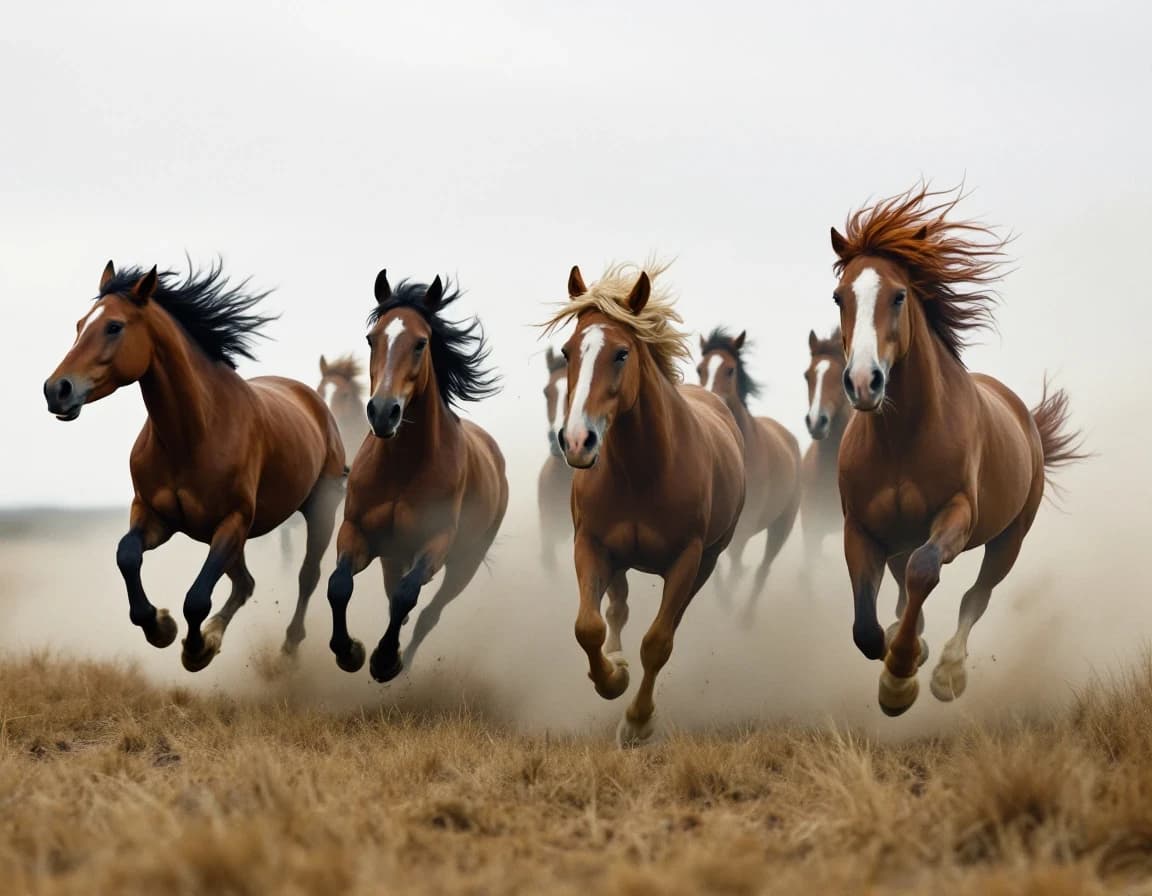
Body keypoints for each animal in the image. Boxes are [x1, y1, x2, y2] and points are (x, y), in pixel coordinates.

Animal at [43, 261, 346, 670]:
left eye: (114, 326)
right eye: (79, 325)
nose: (55, 390)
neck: (193, 435)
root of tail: (312, 401)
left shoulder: (232, 522)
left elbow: (197, 597)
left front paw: (195, 649)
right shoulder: (155, 515)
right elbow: (127, 555)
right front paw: (160, 626)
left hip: (318, 511)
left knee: (307, 575)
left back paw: (289, 649)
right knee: (245, 583)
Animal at [326, 271, 508, 682]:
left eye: (421, 343)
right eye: (372, 338)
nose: (382, 412)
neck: (402, 467)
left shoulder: (435, 543)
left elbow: (407, 596)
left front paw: (384, 660)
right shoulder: (358, 531)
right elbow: (339, 585)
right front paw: (349, 652)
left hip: (465, 563)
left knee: (427, 613)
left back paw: (401, 660)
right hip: (394, 557)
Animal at [546, 262, 745, 746]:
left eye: (621, 353)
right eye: (568, 351)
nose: (576, 441)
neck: (643, 472)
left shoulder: (688, 558)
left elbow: (658, 643)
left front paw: (637, 721)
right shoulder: (591, 545)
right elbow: (589, 627)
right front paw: (612, 677)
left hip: (707, 561)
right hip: (619, 559)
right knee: (616, 609)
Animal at [697, 328, 800, 618]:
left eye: (730, 369)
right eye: (700, 368)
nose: (711, 400)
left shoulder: (743, 527)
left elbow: (733, 567)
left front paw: (728, 604)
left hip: (781, 527)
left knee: (762, 570)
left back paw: (744, 618)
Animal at [830, 185, 1085, 715]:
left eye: (899, 295)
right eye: (840, 296)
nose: (863, 382)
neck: (903, 439)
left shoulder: (957, 515)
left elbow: (926, 573)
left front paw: (900, 678)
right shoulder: (861, 528)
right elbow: (866, 628)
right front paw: (899, 656)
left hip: (1010, 538)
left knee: (975, 596)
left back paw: (948, 672)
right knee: (905, 595)